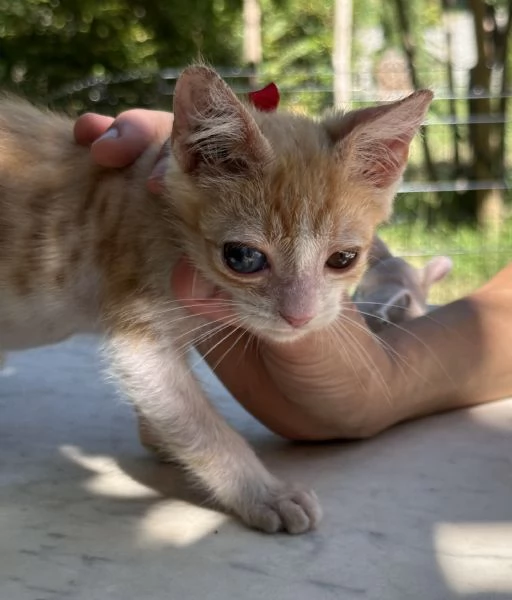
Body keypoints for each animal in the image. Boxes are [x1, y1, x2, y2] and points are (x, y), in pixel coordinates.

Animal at [0, 67, 432, 536]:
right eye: (243, 257)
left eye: (343, 259)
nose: (299, 317)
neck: (162, 219)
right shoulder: (139, 332)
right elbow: (196, 422)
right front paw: (261, 491)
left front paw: (159, 438)